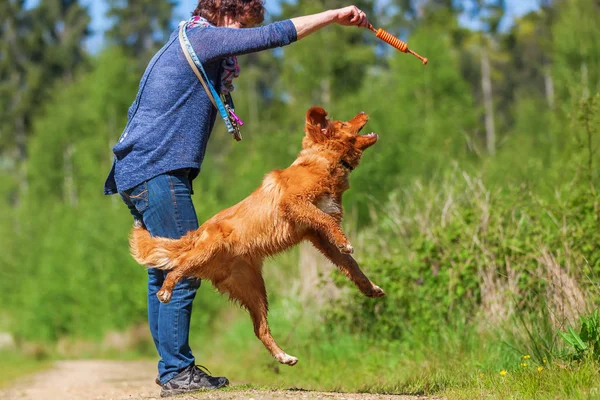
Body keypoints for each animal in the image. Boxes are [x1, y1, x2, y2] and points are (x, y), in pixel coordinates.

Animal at [130, 106, 384, 366]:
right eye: (343, 123)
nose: (363, 111)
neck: (322, 161)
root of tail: (196, 233)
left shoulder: (318, 236)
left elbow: (350, 265)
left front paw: (370, 287)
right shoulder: (293, 203)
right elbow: (326, 221)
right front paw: (345, 242)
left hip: (253, 288)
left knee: (259, 329)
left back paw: (284, 356)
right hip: (206, 253)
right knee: (175, 269)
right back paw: (165, 291)